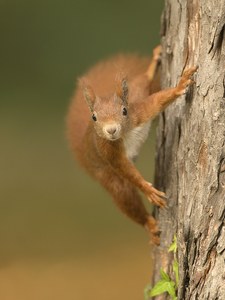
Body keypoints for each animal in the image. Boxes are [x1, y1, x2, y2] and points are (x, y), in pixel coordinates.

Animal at [67, 46, 197, 244]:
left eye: (124, 111)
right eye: (94, 117)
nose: (111, 130)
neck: (125, 133)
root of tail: (82, 150)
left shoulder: (140, 112)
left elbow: (158, 99)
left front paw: (180, 86)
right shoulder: (108, 150)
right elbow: (126, 170)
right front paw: (148, 190)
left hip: (137, 92)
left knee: (141, 82)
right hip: (107, 177)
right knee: (126, 197)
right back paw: (149, 224)